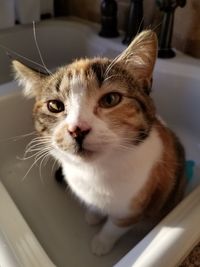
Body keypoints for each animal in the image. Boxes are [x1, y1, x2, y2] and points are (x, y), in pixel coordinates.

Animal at [12, 29, 186, 258]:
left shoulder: (133, 206)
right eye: (55, 106)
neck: (95, 170)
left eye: (110, 99)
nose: (77, 129)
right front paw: (93, 215)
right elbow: (95, 207)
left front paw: (101, 243)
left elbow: (115, 226)